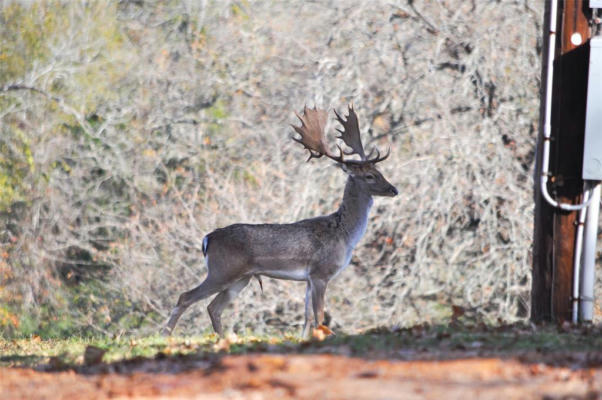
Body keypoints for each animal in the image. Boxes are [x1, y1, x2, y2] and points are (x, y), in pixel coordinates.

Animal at [164, 104, 396, 336]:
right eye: (369, 176)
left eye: (379, 171)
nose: (394, 189)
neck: (344, 234)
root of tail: (207, 239)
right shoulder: (321, 272)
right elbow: (319, 317)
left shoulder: (309, 278)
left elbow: (307, 317)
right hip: (222, 270)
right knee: (186, 297)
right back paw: (166, 335)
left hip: (241, 278)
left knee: (213, 307)